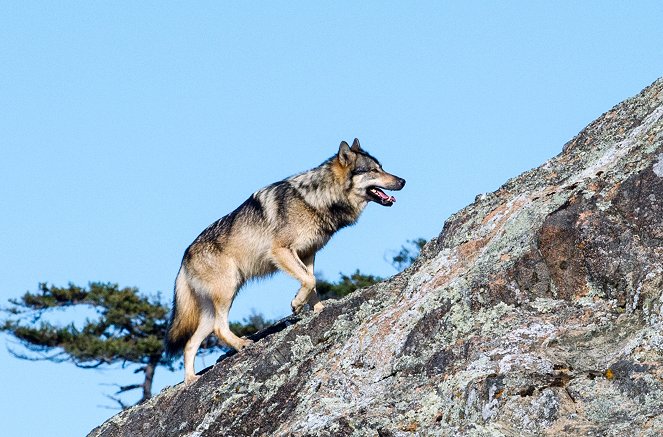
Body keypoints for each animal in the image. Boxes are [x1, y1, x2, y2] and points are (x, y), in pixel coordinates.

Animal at [165, 137, 404, 382]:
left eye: (382, 167)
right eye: (374, 170)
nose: (403, 181)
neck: (317, 199)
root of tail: (184, 258)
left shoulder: (308, 253)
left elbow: (312, 283)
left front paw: (319, 309)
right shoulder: (281, 252)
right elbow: (309, 280)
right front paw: (296, 304)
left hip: (215, 305)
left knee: (190, 343)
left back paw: (191, 380)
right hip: (228, 290)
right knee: (219, 329)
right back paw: (241, 344)